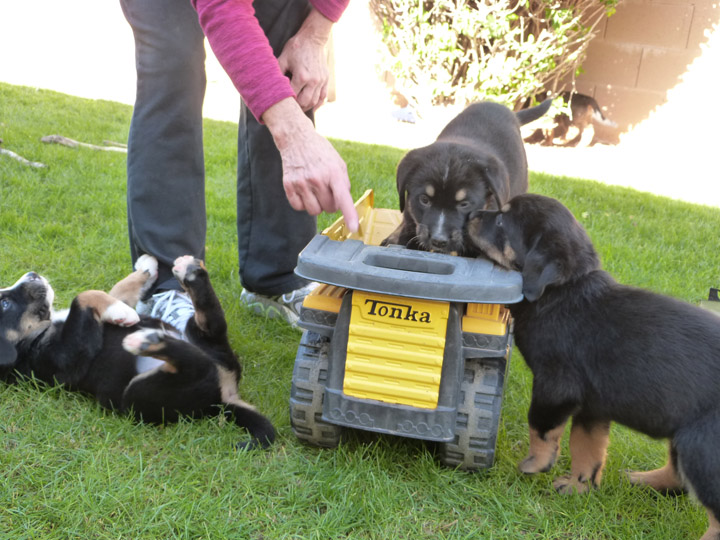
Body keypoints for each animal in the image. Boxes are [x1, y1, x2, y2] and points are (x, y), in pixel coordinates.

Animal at [0, 255, 276, 450]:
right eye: (5, 303)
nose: (33, 275)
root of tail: (221, 399)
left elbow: (114, 291)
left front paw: (145, 270)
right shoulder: (65, 357)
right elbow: (84, 296)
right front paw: (124, 312)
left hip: (202, 337)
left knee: (212, 324)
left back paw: (189, 273)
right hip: (138, 395)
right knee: (197, 364)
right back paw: (149, 340)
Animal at [466, 194, 720, 540]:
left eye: (503, 221)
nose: (470, 214)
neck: (562, 292)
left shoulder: (555, 387)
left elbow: (541, 428)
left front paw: (535, 464)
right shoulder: (594, 406)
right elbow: (587, 448)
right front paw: (579, 487)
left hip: (702, 445)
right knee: (678, 474)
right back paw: (641, 480)